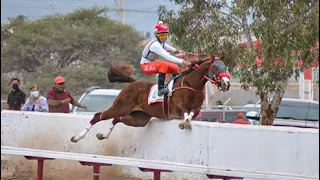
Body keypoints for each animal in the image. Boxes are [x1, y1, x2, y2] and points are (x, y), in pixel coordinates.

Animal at [70, 57, 230, 143]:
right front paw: (184, 123)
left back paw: (103, 135)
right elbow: (185, 111)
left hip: (139, 119)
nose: (226, 84)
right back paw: (77, 137)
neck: (192, 85)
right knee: (98, 116)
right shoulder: (177, 106)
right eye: (216, 67)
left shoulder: (197, 110)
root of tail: (133, 82)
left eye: (225, 66)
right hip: (120, 106)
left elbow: (191, 114)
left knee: (117, 119)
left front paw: (186, 123)